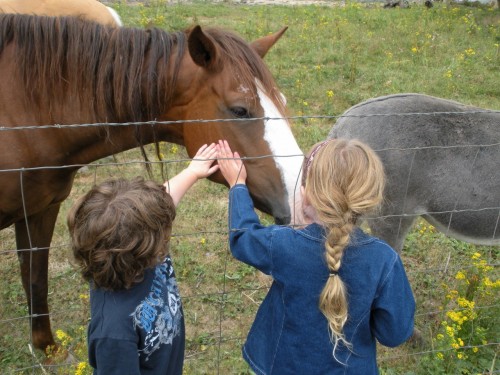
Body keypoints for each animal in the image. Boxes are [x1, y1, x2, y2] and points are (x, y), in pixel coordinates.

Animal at [0, 13, 304, 352]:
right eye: (240, 110)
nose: (299, 196)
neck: (24, 118)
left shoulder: (41, 209)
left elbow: (35, 280)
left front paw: (46, 351)